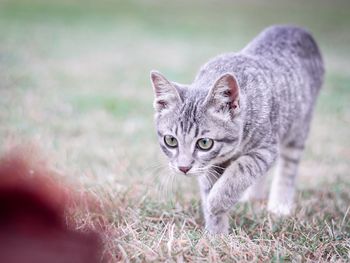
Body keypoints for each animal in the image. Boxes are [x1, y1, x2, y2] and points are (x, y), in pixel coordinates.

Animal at [149, 25, 324, 235]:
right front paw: (216, 233)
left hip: (298, 128)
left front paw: (215, 203)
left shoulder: (265, 149)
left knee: (288, 166)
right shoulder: (211, 165)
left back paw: (279, 205)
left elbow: (240, 172)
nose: (183, 168)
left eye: (204, 143)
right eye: (171, 141)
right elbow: (210, 186)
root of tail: (294, 27)